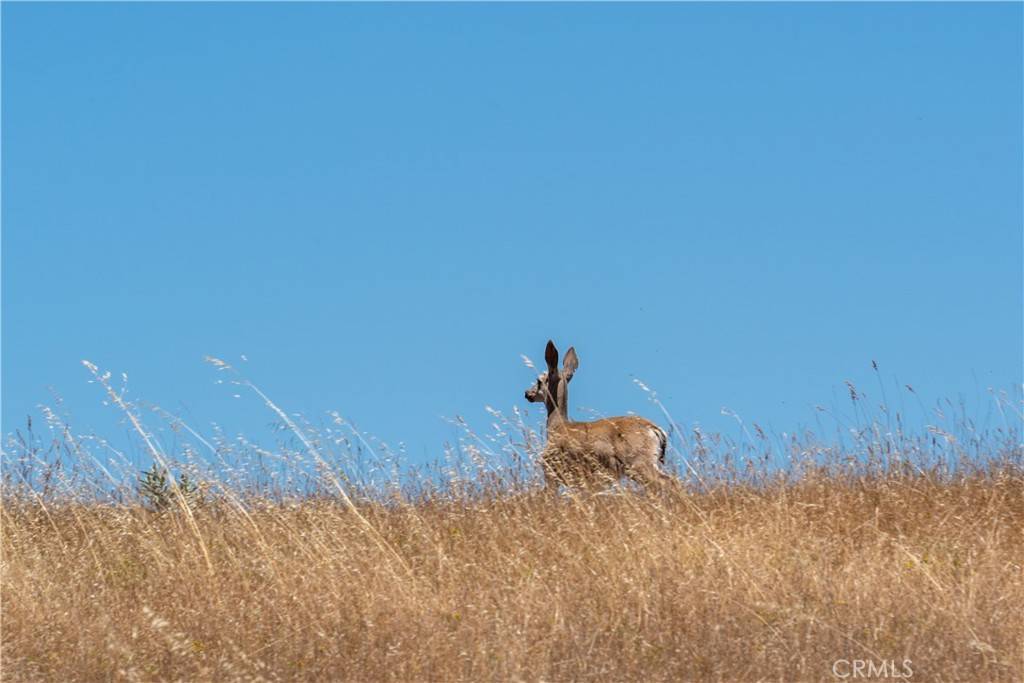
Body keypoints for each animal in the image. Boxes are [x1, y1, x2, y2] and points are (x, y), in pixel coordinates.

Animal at [524, 339, 675, 491]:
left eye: (539, 380)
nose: (527, 393)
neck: (557, 426)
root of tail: (655, 429)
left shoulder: (552, 468)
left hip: (638, 461)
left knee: (668, 482)